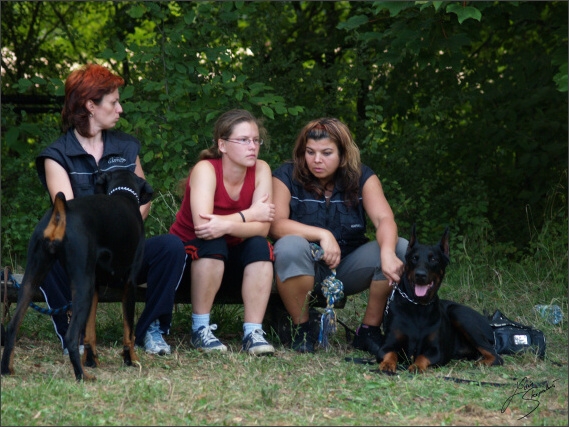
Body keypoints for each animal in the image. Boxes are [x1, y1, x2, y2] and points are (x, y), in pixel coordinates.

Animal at [0, 169, 153, 382]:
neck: (124, 193)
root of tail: (60, 212)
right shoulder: (129, 284)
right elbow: (129, 331)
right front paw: (131, 360)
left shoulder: (96, 287)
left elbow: (89, 333)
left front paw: (92, 360)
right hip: (82, 287)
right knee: (71, 337)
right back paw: (82, 376)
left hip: (32, 279)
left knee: (13, 326)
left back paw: (7, 369)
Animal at [378, 226, 502, 372]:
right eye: (414, 258)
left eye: (434, 259)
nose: (420, 275)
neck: (418, 306)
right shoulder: (387, 344)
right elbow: (390, 353)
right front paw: (387, 364)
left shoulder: (436, 351)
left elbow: (422, 357)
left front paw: (416, 366)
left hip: (459, 314)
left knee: (496, 356)